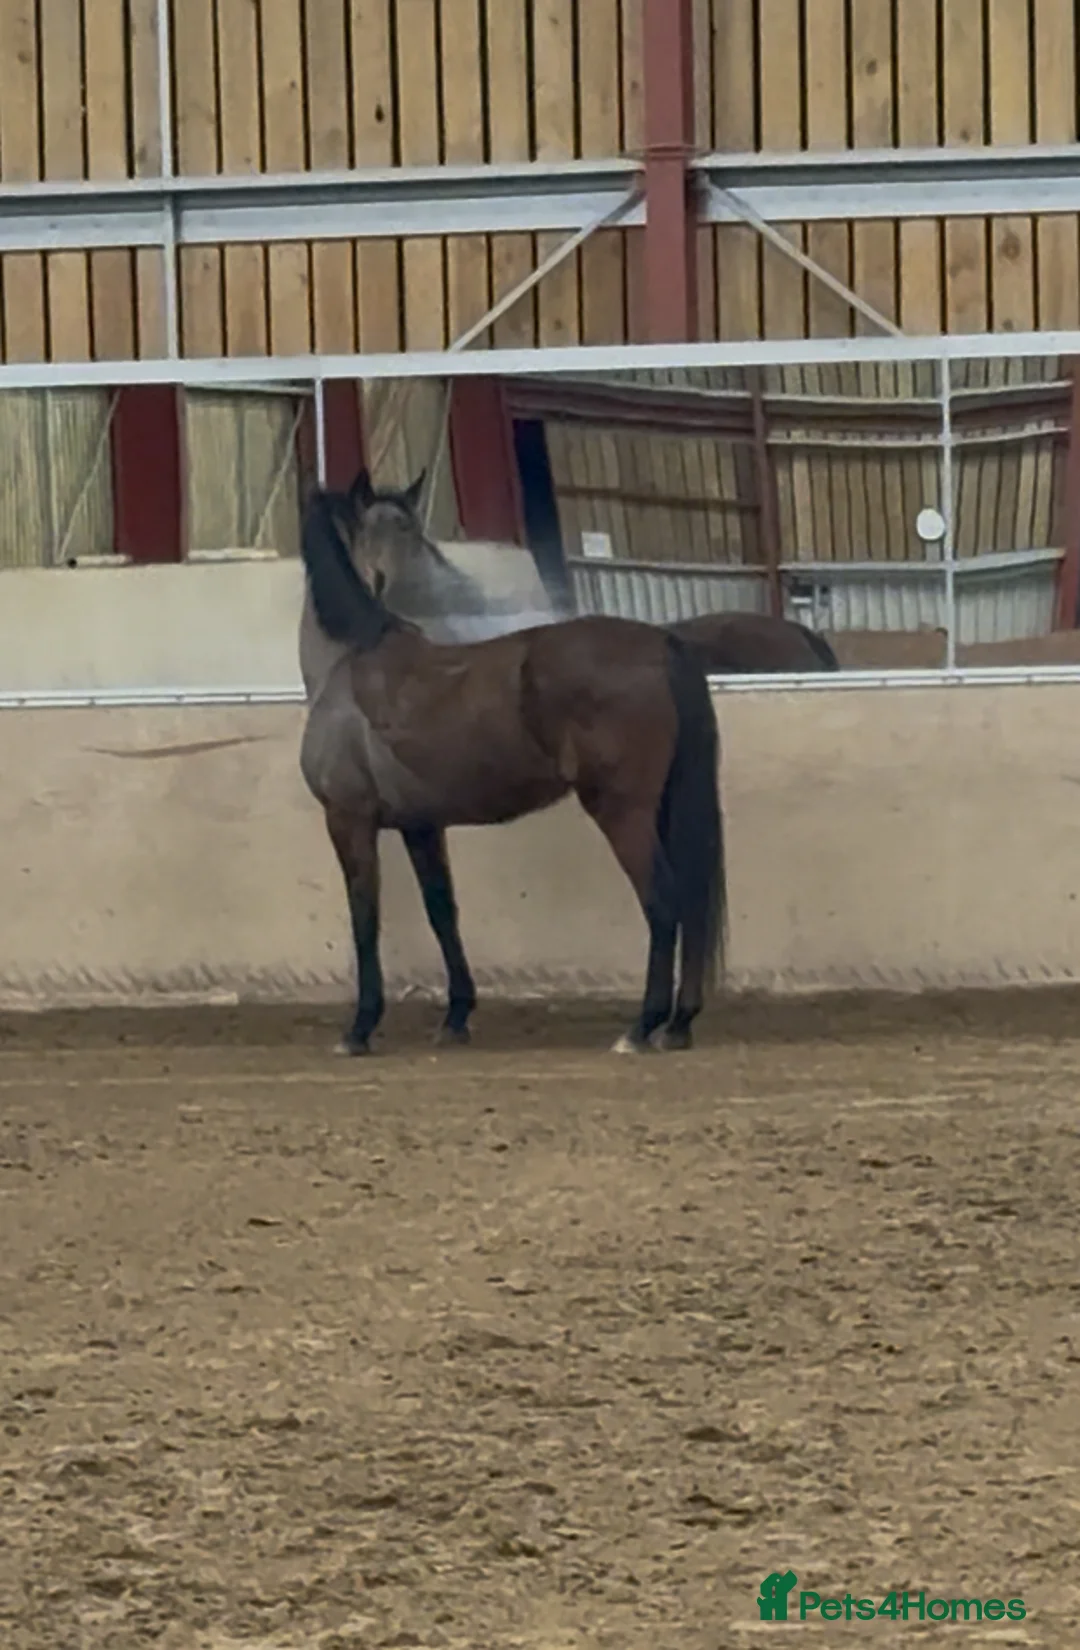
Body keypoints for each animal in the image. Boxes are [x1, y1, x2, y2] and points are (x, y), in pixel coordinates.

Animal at [297, 474, 726, 1058]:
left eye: (406, 530)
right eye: (374, 530)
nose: (384, 578)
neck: (349, 660)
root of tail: (663, 645)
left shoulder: (349, 820)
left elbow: (365, 918)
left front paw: (359, 1028)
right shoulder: (420, 826)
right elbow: (442, 912)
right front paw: (456, 1016)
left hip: (623, 813)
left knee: (662, 902)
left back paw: (641, 1027)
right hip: (664, 807)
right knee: (692, 904)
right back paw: (679, 1024)